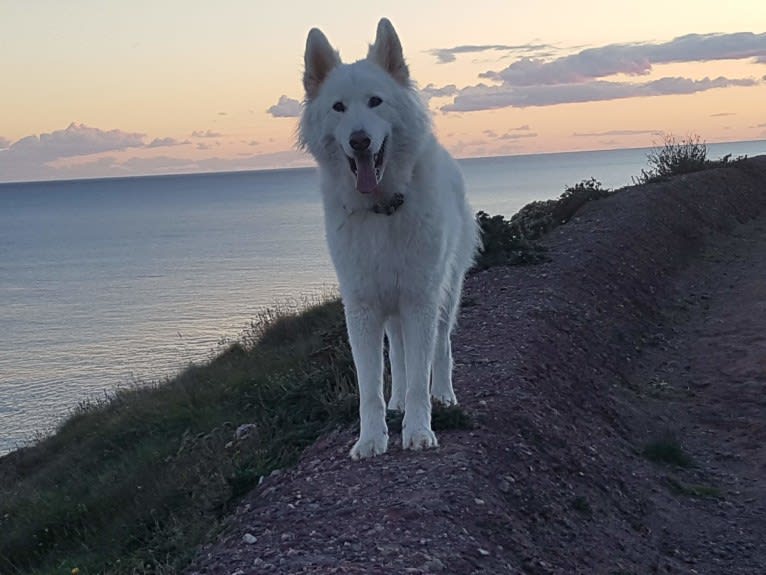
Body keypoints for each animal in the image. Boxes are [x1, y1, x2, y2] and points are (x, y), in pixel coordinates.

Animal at [300, 18, 480, 460]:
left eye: (376, 102)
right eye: (339, 108)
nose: (360, 140)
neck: (382, 207)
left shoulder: (419, 299)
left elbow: (419, 375)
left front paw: (418, 430)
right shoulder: (363, 307)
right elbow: (371, 388)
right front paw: (371, 438)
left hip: (445, 294)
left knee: (440, 348)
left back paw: (444, 396)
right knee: (397, 356)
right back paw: (396, 402)